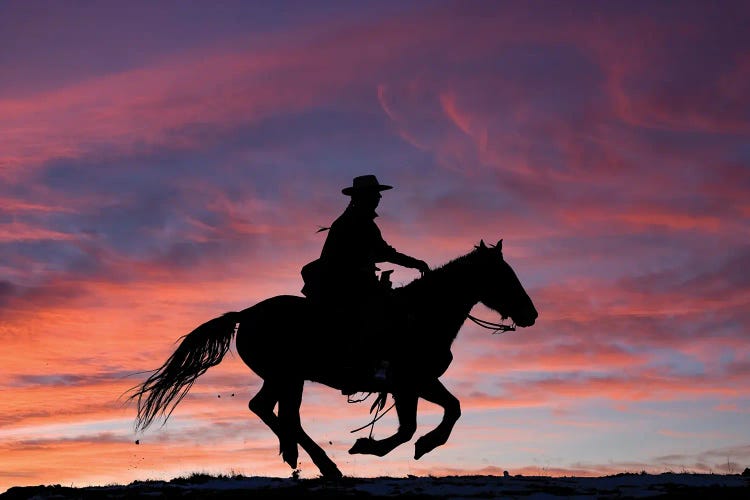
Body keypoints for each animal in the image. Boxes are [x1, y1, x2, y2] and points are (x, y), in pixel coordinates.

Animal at [132, 240, 536, 478]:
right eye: (504, 275)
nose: (531, 314)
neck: (421, 314)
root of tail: (246, 314)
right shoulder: (407, 384)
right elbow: (409, 428)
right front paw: (373, 446)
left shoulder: (420, 382)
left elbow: (452, 408)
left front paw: (423, 445)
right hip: (288, 376)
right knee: (279, 413)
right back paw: (323, 464)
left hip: (285, 378)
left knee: (271, 410)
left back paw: (297, 455)